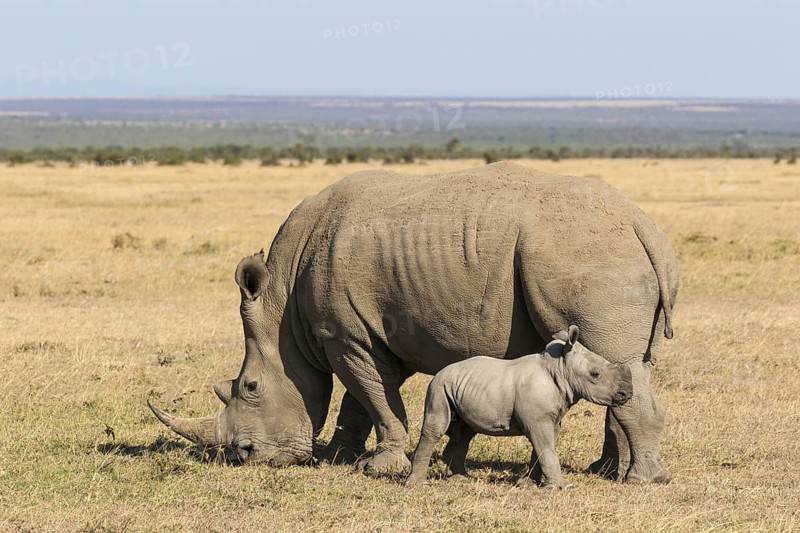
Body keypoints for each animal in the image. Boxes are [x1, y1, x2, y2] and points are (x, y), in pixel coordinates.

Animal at [405, 325, 633, 489]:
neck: (559, 368)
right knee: (438, 427)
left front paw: (528, 484)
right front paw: (564, 487)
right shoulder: (538, 420)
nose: (627, 394)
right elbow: (546, 449)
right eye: (595, 374)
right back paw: (417, 485)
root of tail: (440, 372)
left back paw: (462, 479)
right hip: (439, 386)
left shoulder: (550, 418)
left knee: (465, 431)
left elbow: (543, 449)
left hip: (460, 387)